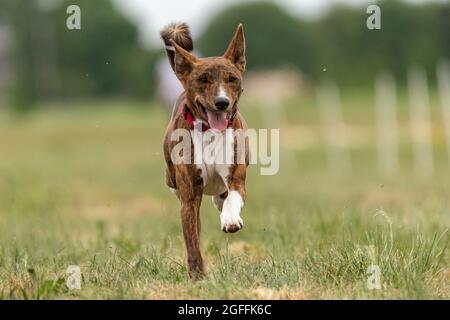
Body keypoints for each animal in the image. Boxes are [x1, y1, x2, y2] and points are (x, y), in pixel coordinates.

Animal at [159, 22, 250, 278]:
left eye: (232, 78)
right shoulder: (190, 195)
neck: (210, 133)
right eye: (202, 79)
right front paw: (197, 276)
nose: (222, 102)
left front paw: (230, 220)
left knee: (223, 196)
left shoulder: (236, 174)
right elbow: (192, 240)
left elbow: (234, 195)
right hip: (171, 177)